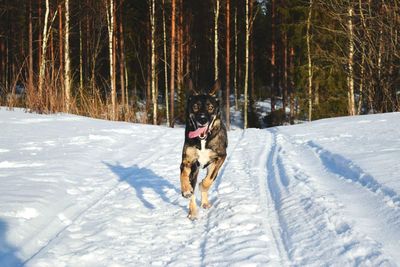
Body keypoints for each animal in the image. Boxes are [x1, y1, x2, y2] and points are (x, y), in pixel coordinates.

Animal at [179, 80, 227, 222]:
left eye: (210, 107)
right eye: (195, 106)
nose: (202, 119)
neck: (203, 140)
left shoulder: (220, 157)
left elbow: (207, 181)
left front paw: (203, 187)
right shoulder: (188, 161)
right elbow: (184, 176)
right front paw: (186, 190)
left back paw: (204, 202)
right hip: (194, 170)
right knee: (192, 188)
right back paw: (193, 212)